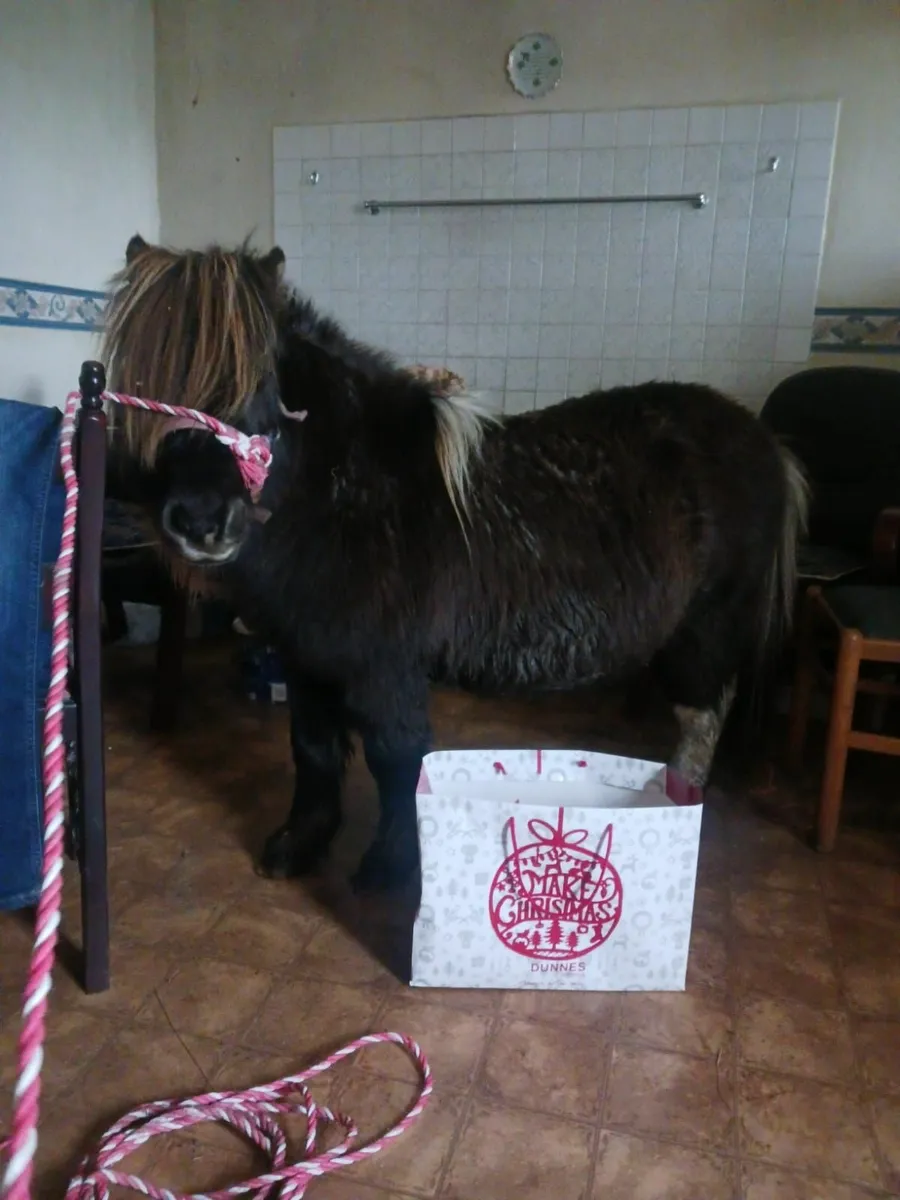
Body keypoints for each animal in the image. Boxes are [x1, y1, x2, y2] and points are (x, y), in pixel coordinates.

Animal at [103, 234, 808, 891]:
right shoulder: (307, 658)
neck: (351, 492)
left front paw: (390, 868)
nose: (200, 521)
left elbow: (396, 764)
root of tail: (765, 443)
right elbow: (314, 749)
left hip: (704, 632)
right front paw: (299, 847)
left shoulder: (383, 670)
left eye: (262, 382)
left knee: (702, 722)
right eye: (141, 387)